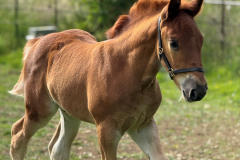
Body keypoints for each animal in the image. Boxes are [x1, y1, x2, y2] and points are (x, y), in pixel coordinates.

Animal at [10, 0, 207, 159]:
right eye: (173, 42)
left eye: (201, 40)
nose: (198, 90)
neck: (127, 72)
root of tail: (39, 40)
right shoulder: (106, 131)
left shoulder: (143, 126)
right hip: (39, 111)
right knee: (17, 135)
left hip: (69, 112)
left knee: (58, 148)